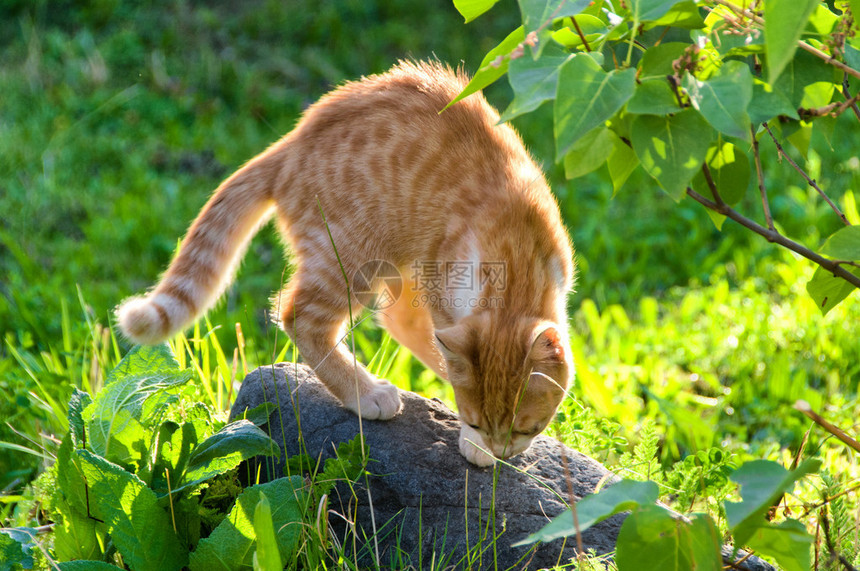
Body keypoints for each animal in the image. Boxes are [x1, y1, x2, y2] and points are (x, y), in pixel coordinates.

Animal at [116, 60, 572, 466]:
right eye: (479, 423)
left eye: (526, 429)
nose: (500, 451)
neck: (515, 247)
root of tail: (291, 145)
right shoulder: (442, 287)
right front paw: (471, 441)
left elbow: (421, 338)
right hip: (349, 257)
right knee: (299, 316)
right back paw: (365, 393)